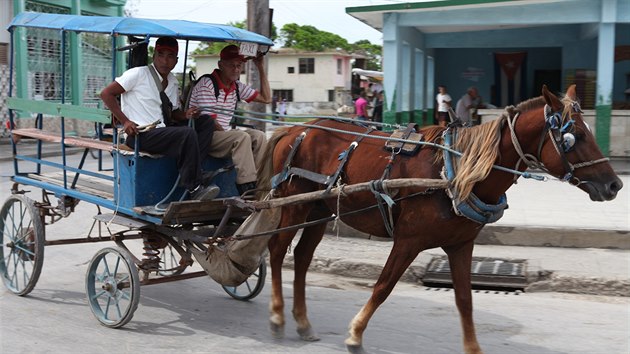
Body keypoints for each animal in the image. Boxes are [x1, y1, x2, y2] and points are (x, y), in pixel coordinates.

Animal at [256, 84, 624, 352]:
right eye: (573, 137)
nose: (614, 184)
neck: (454, 173)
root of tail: (296, 130)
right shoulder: (407, 242)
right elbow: (383, 287)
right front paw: (355, 334)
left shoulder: (461, 245)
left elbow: (465, 300)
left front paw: (473, 348)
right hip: (295, 205)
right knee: (276, 251)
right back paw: (276, 316)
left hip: (319, 210)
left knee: (302, 258)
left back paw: (302, 322)